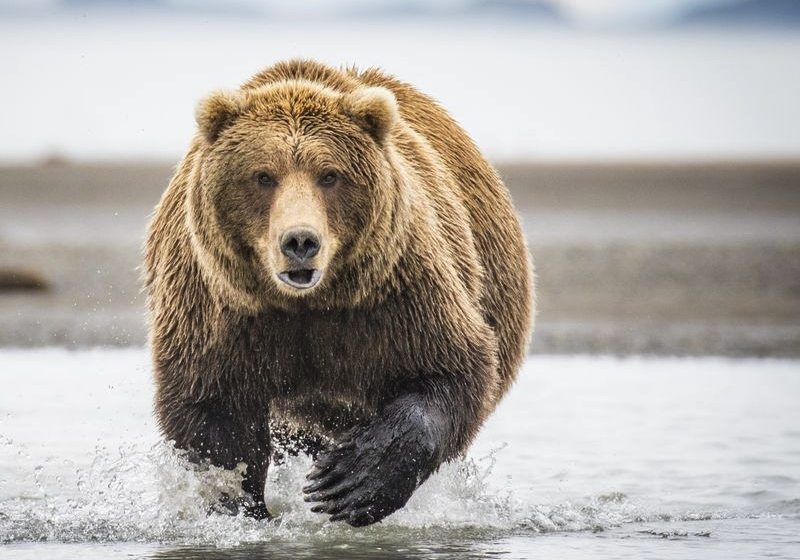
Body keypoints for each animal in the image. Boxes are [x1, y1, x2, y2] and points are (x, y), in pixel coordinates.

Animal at [145, 59, 532, 528]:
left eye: (329, 174)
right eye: (263, 176)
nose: (300, 241)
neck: (306, 304)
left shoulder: (395, 292)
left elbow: (450, 367)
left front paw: (352, 481)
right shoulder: (221, 310)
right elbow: (215, 416)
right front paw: (242, 508)